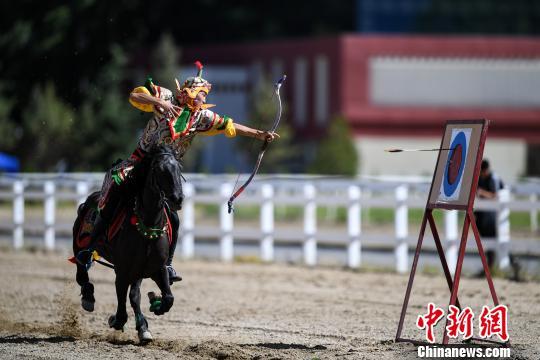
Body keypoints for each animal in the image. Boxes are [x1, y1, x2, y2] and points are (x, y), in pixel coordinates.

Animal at [71, 145, 184, 342]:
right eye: (159, 170)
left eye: (178, 168)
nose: (177, 198)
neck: (147, 224)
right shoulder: (123, 270)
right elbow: (123, 299)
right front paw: (116, 319)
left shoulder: (155, 268)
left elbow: (165, 297)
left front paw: (155, 307)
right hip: (79, 244)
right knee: (81, 271)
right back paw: (88, 296)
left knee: (134, 295)